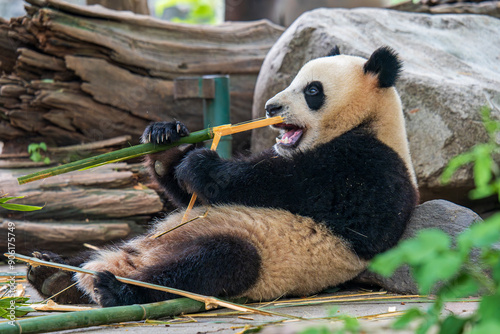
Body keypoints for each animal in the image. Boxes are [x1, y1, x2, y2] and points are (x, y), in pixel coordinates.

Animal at [26, 45, 418, 306]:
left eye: (312, 90)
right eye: (295, 81)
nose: (271, 107)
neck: (372, 122)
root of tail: (131, 259)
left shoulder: (371, 167)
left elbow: (283, 184)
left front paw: (202, 164)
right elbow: (187, 196)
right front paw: (165, 138)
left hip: (254, 256)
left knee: (212, 262)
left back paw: (113, 288)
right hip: (142, 242)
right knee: (98, 256)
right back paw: (51, 270)